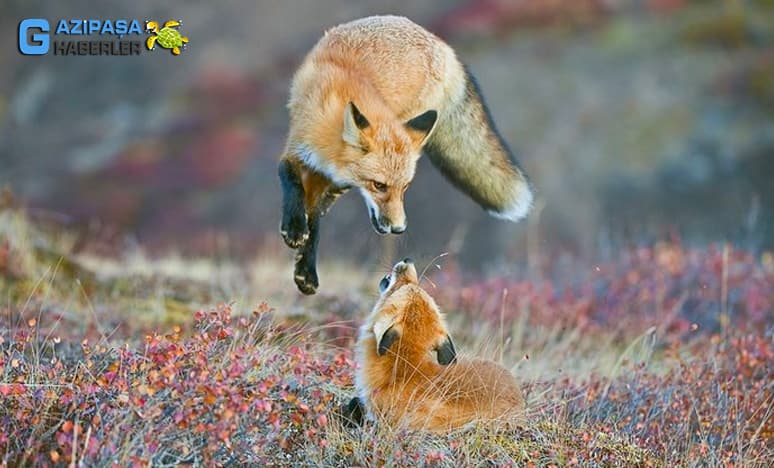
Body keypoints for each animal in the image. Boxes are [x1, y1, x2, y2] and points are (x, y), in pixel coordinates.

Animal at [278, 16, 532, 294]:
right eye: (379, 185)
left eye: (406, 187)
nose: (400, 229)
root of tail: (442, 44)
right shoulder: (298, 147)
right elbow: (290, 178)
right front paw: (294, 228)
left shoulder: (331, 177)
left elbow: (315, 216)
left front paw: (306, 270)